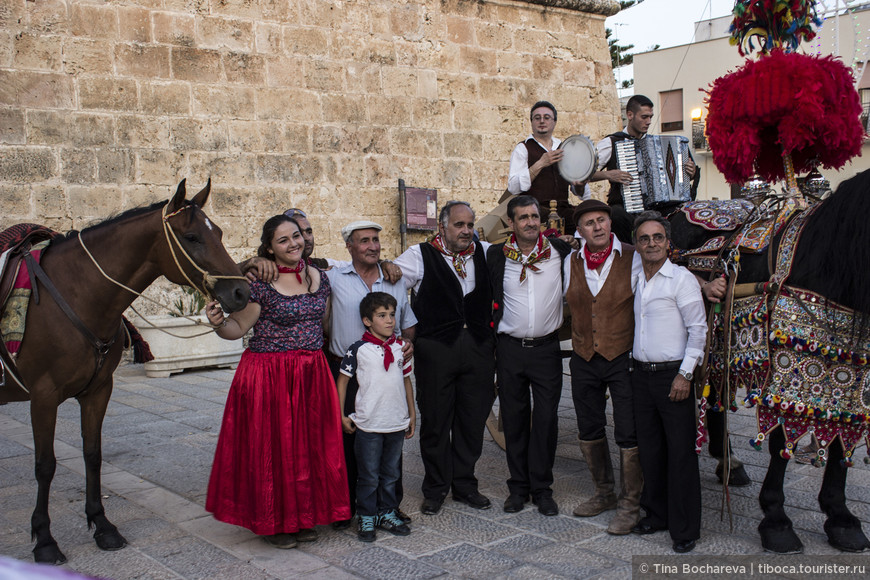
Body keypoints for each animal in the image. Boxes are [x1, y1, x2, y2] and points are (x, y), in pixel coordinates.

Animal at [0, 180, 252, 560]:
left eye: (220, 232)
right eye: (192, 236)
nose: (241, 291)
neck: (77, 295)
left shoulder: (98, 389)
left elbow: (93, 454)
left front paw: (102, 525)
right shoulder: (43, 396)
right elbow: (45, 465)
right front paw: (44, 540)